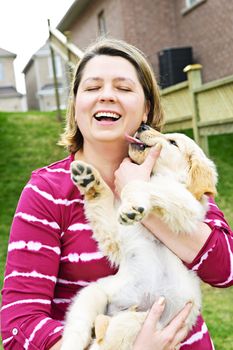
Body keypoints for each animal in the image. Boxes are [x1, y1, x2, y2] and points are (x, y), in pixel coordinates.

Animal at [61, 126, 218, 350]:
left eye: (173, 143)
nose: (143, 126)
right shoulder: (116, 236)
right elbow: (107, 199)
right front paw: (92, 182)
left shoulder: (186, 204)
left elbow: (139, 184)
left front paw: (132, 206)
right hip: (93, 294)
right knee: (79, 332)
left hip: (143, 323)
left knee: (108, 338)